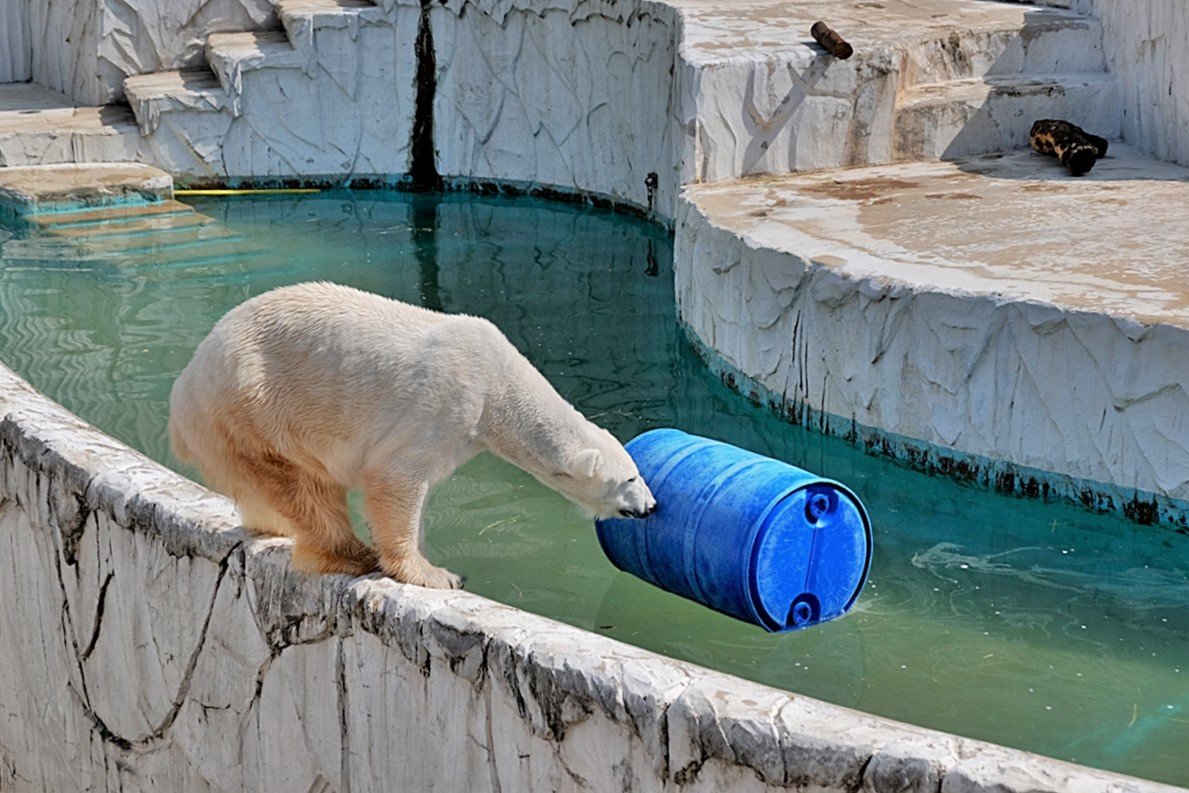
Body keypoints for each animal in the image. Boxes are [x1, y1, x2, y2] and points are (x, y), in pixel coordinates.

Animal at [172, 280, 661, 589]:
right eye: (630, 478)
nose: (653, 507)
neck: (500, 382)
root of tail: (185, 385)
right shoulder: (446, 402)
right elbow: (397, 476)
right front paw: (436, 574)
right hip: (253, 408)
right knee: (301, 486)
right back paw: (351, 554)